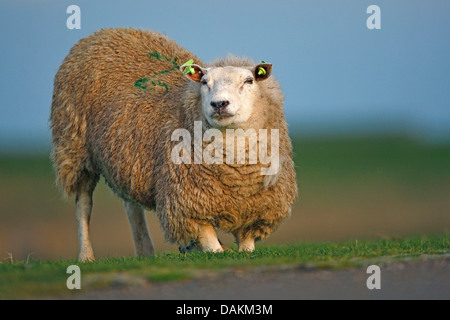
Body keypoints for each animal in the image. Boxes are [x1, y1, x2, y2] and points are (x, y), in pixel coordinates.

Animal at [49, 28, 298, 262]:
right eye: (204, 82)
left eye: (249, 80)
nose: (219, 104)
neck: (236, 172)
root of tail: (103, 34)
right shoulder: (187, 202)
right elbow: (212, 246)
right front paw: (208, 248)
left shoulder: (257, 208)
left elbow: (246, 247)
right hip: (76, 149)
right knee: (84, 205)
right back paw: (86, 256)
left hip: (127, 159)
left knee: (132, 206)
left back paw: (146, 251)